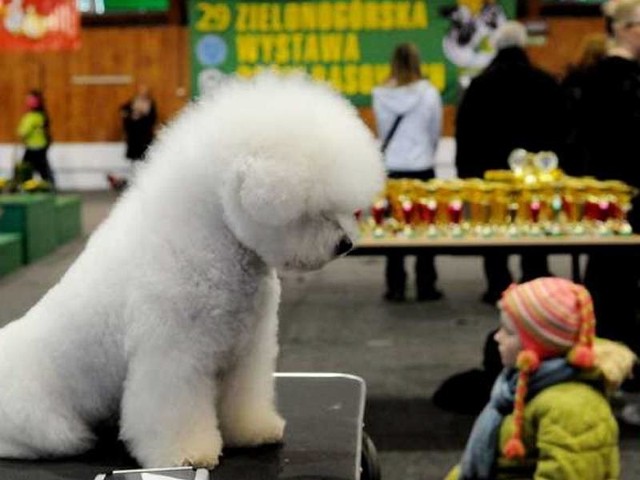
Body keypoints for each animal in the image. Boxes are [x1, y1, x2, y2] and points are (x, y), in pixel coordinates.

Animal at [0, 75, 384, 468]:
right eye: (308, 212)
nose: (344, 244)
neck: (210, 242)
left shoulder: (247, 350)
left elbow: (244, 396)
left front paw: (254, 430)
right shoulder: (174, 353)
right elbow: (174, 408)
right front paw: (187, 453)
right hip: (44, 420)